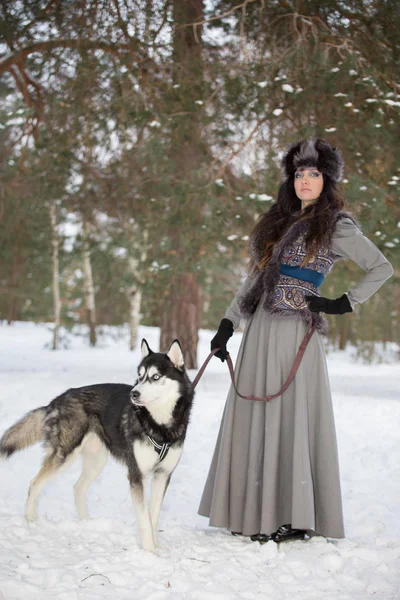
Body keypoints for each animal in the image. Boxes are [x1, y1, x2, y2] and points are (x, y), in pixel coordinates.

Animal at [0, 340, 194, 552]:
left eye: (156, 377)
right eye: (140, 376)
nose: (133, 393)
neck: (159, 426)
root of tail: (57, 400)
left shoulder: (163, 475)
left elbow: (153, 516)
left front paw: (156, 546)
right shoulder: (137, 475)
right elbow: (144, 519)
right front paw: (149, 551)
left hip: (96, 461)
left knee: (77, 487)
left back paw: (86, 522)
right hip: (64, 456)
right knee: (35, 483)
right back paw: (30, 519)